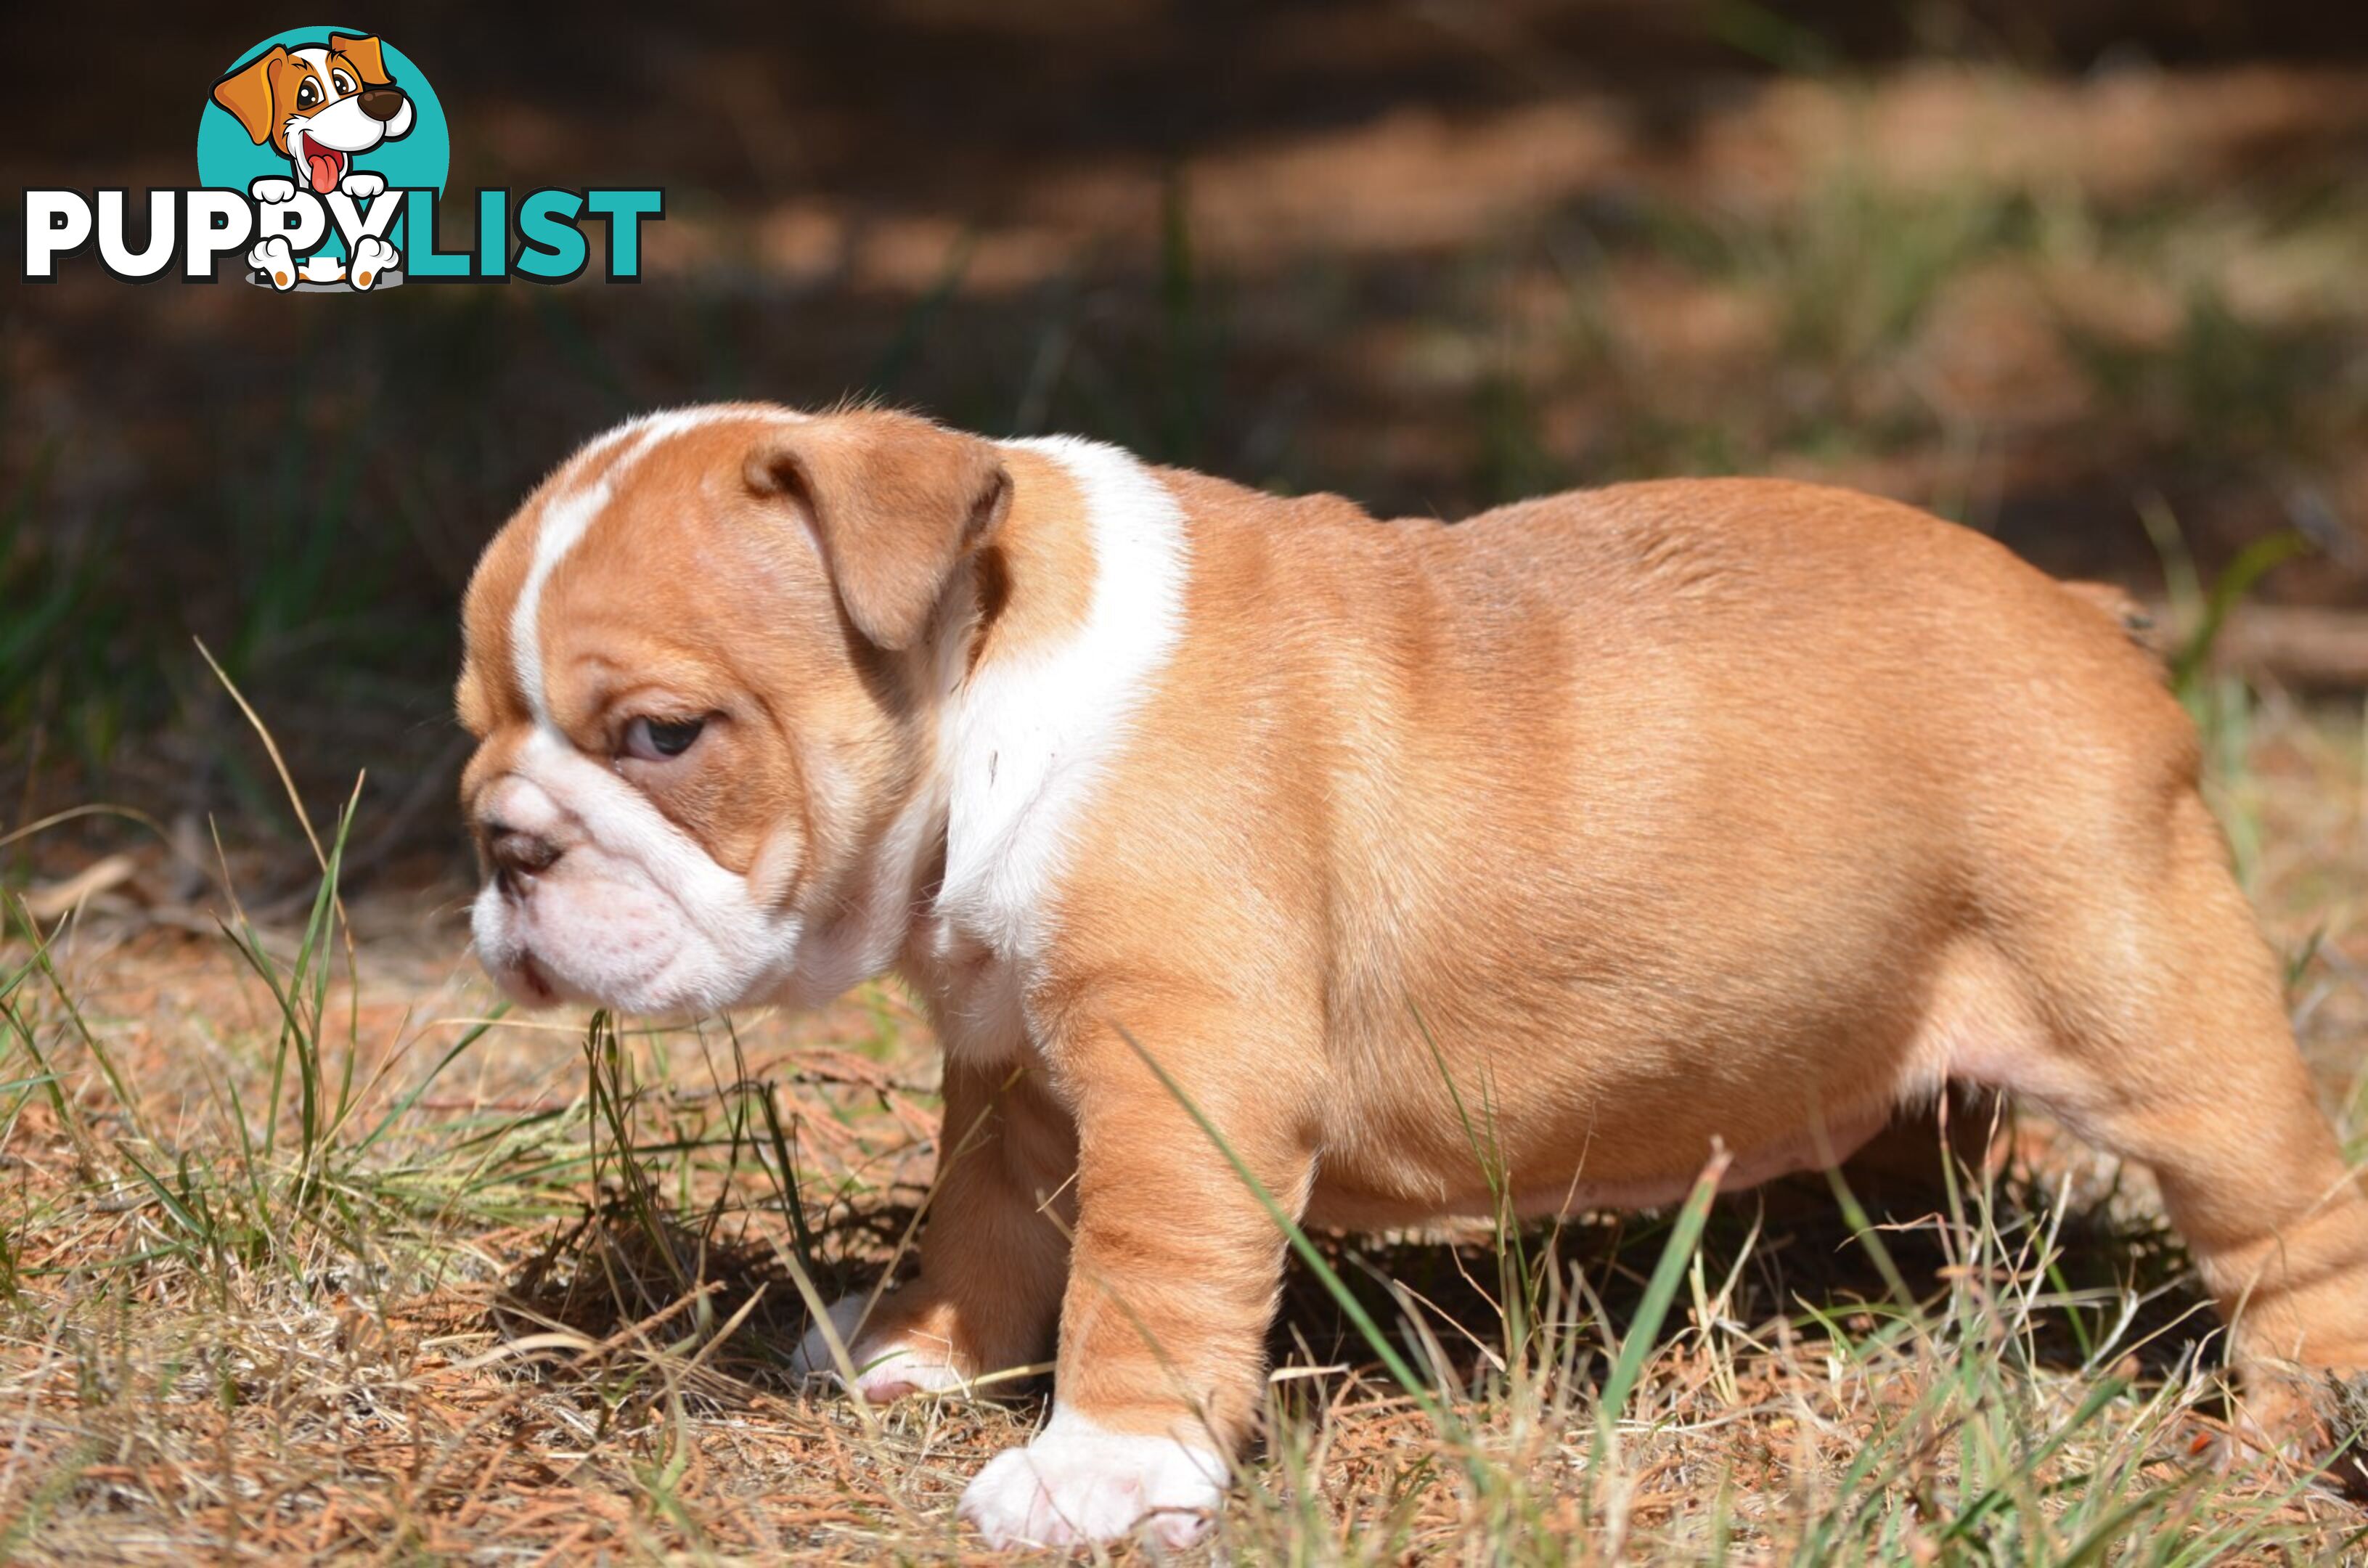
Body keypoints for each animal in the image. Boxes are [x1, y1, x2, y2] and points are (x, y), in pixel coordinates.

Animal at [457, 402, 2368, 1544]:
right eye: (478, 719)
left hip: (2150, 1003)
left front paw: (1099, 1471)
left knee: (2283, 1219)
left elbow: (1141, 1281)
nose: (500, 838)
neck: (995, 680)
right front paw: (915, 1352)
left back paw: (2285, 1425)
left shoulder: (1180, 1076)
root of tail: (2086, 612)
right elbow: (985, 1222)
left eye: (662, 736)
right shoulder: (1011, 1064)